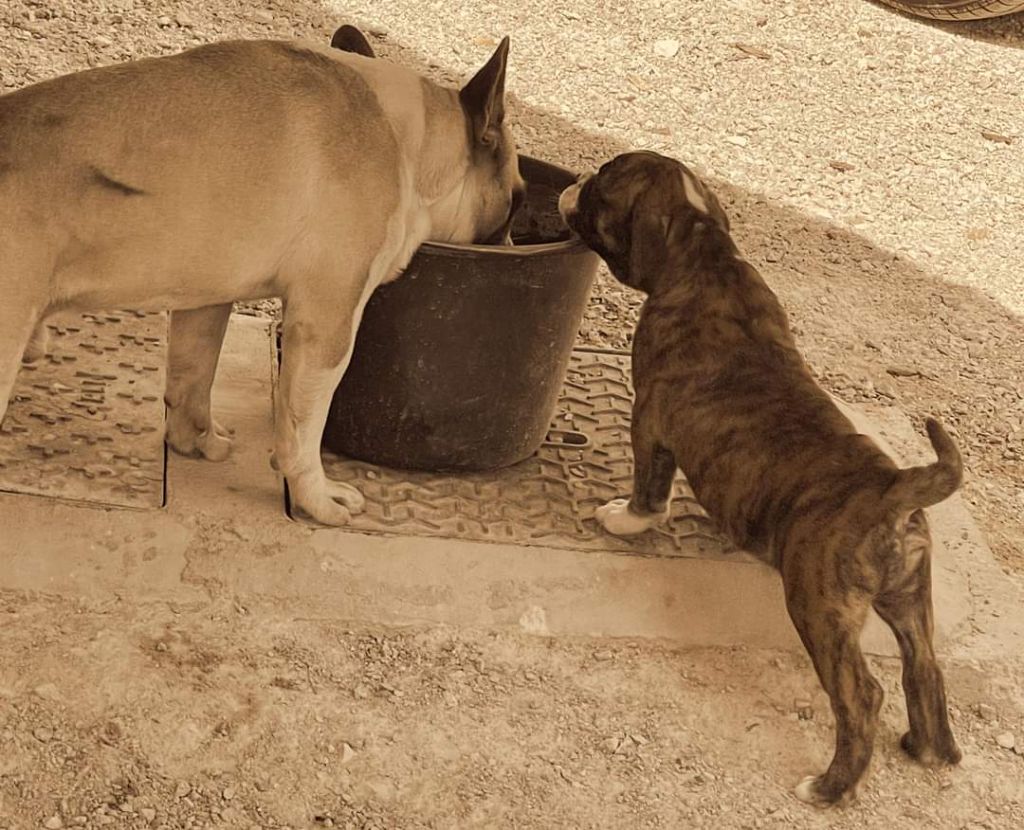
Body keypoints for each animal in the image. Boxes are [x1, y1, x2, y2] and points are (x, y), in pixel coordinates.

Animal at [0, 27, 524, 523]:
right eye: (517, 200)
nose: (513, 245)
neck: (414, 143)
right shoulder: (327, 326)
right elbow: (303, 428)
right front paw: (317, 497)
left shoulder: (205, 301)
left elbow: (193, 378)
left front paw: (196, 441)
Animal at [557, 149, 962, 806]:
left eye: (600, 187)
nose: (574, 181)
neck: (705, 256)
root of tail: (893, 490)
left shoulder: (651, 419)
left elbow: (650, 485)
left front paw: (627, 519)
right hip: (910, 598)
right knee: (923, 666)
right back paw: (930, 750)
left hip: (818, 606)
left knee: (862, 696)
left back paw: (828, 787)